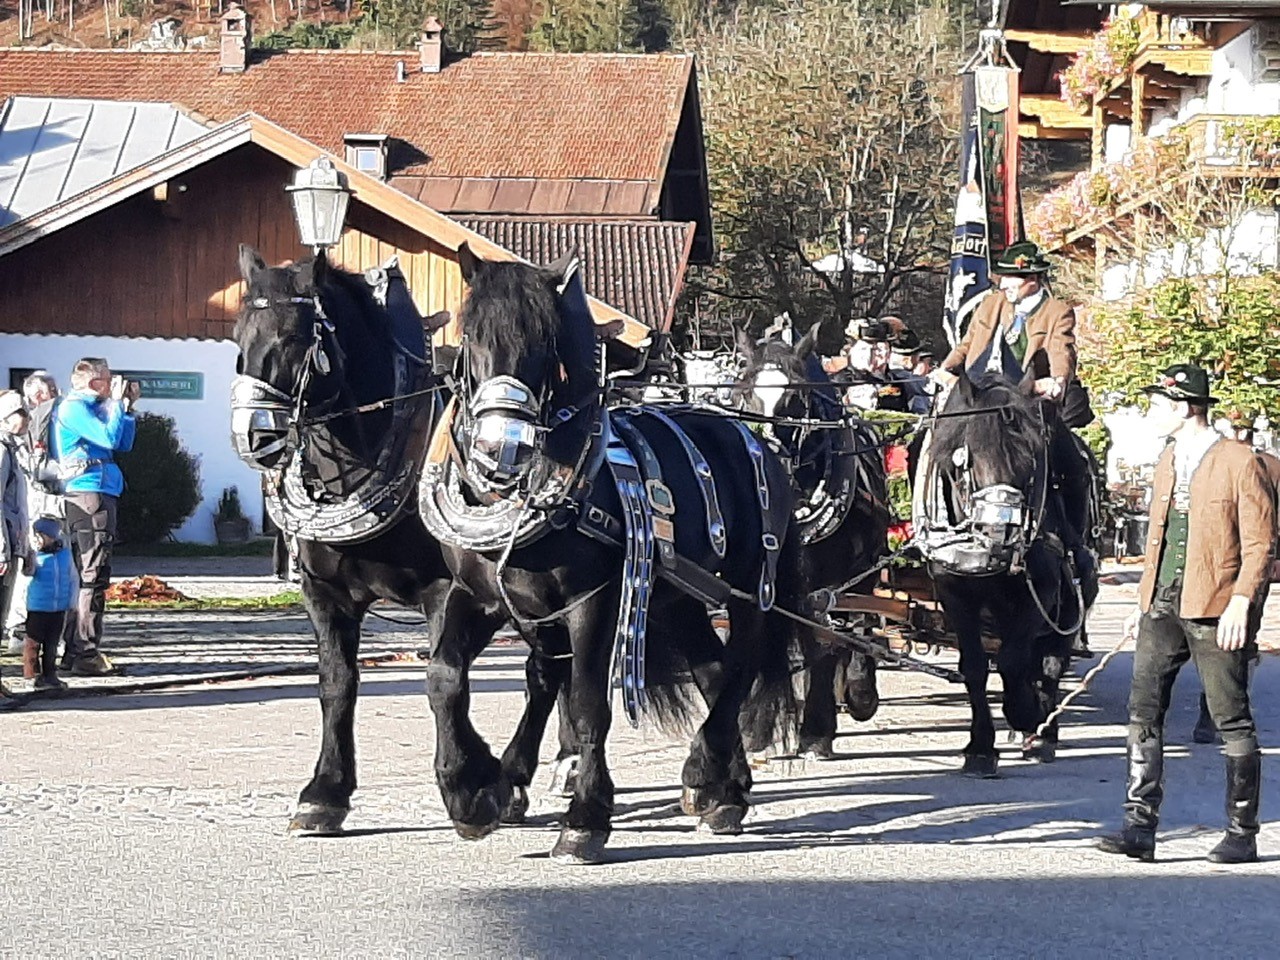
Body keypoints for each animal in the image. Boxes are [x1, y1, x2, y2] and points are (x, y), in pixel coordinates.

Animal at [419, 244, 802, 863]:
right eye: (469, 334)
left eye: (546, 343)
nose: (500, 446)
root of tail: (754, 438)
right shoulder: (477, 596)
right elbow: (445, 677)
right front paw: (470, 789)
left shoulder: (590, 601)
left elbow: (585, 702)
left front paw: (584, 819)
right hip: (681, 597)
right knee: (714, 671)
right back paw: (723, 788)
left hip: (748, 586)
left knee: (740, 666)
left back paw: (704, 772)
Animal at [734, 325, 892, 758]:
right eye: (742, 392)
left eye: (795, 399)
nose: (766, 457)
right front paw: (754, 725)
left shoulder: (829, 582)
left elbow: (826, 643)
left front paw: (817, 731)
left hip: (864, 573)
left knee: (856, 627)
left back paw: (856, 691)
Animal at [920, 370, 1099, 776]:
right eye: (966, 460)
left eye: (1032, 460)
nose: (1000, 533)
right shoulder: (955, 594)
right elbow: (974, 666)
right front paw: (980, 747)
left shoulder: (1043, 590)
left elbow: (1014, 661)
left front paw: (1025, 714)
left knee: (1051, 659)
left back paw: (1043, 731)